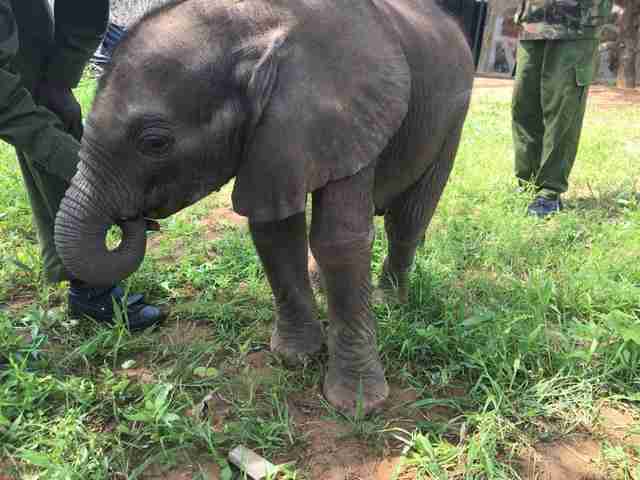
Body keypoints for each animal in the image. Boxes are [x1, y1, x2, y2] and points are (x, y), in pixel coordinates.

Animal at [55, 0, 472, 414]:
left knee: (409, 217)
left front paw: (357, 405)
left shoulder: (349, 111)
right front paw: (295, 357)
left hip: (454, 113)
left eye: (155, 143)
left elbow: (339, 241)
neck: (254, 26)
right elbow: (274, 230)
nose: (133, 221)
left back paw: (388, 300)